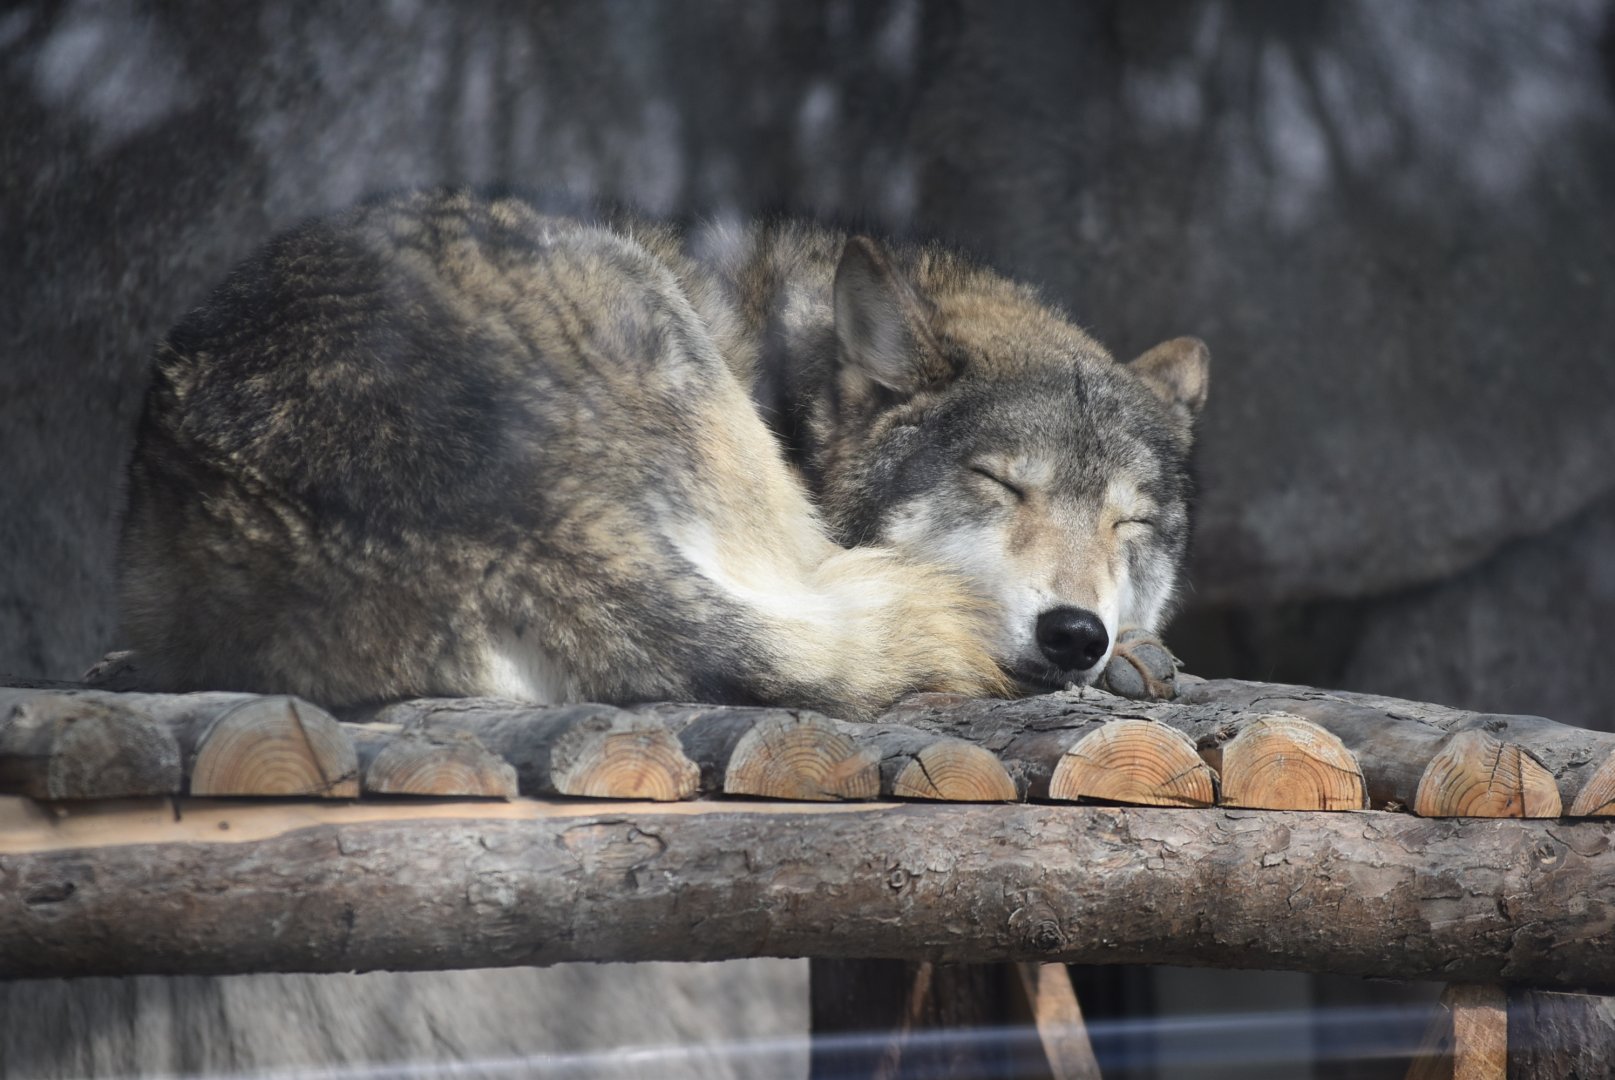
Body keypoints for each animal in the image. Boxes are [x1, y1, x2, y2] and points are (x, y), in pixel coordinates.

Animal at [119, 190, 1207, 719]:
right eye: (998, 484)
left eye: (1129, 523)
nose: (1075, 634)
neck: (786, 371)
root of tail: (516, 516)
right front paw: (1123, 657)